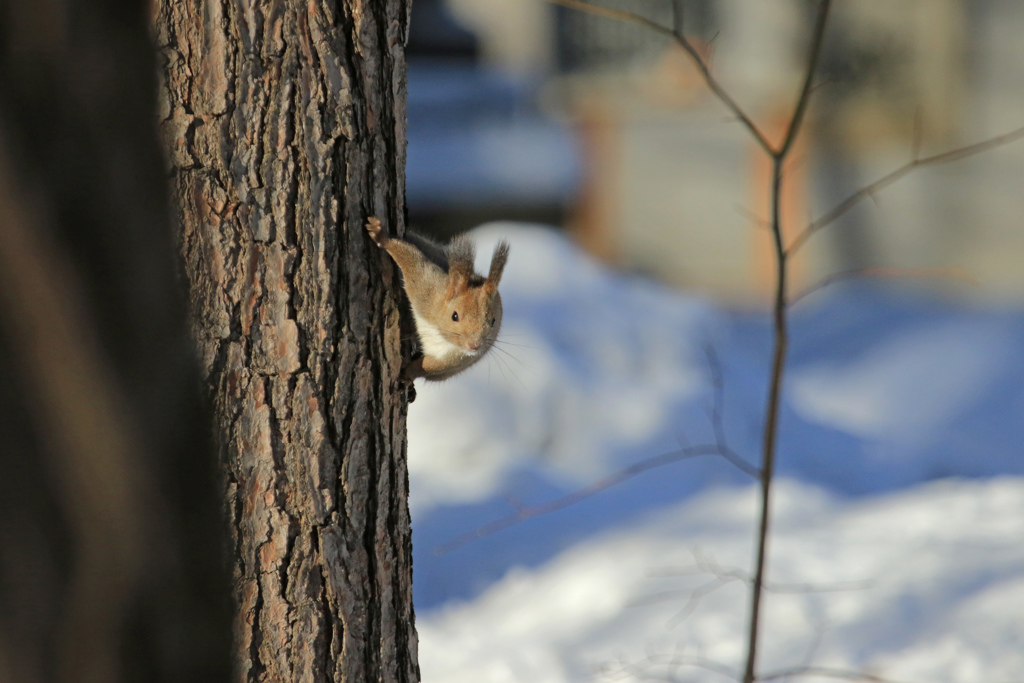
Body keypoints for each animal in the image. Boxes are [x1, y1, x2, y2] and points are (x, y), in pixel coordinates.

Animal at [368, 216, 512, 382]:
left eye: (493, 321)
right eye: (454, 316)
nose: (474, 345)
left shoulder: (457, 359)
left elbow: (429, 366)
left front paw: (408, 373)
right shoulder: (427, 292)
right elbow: (414, 263)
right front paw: (383, 237)